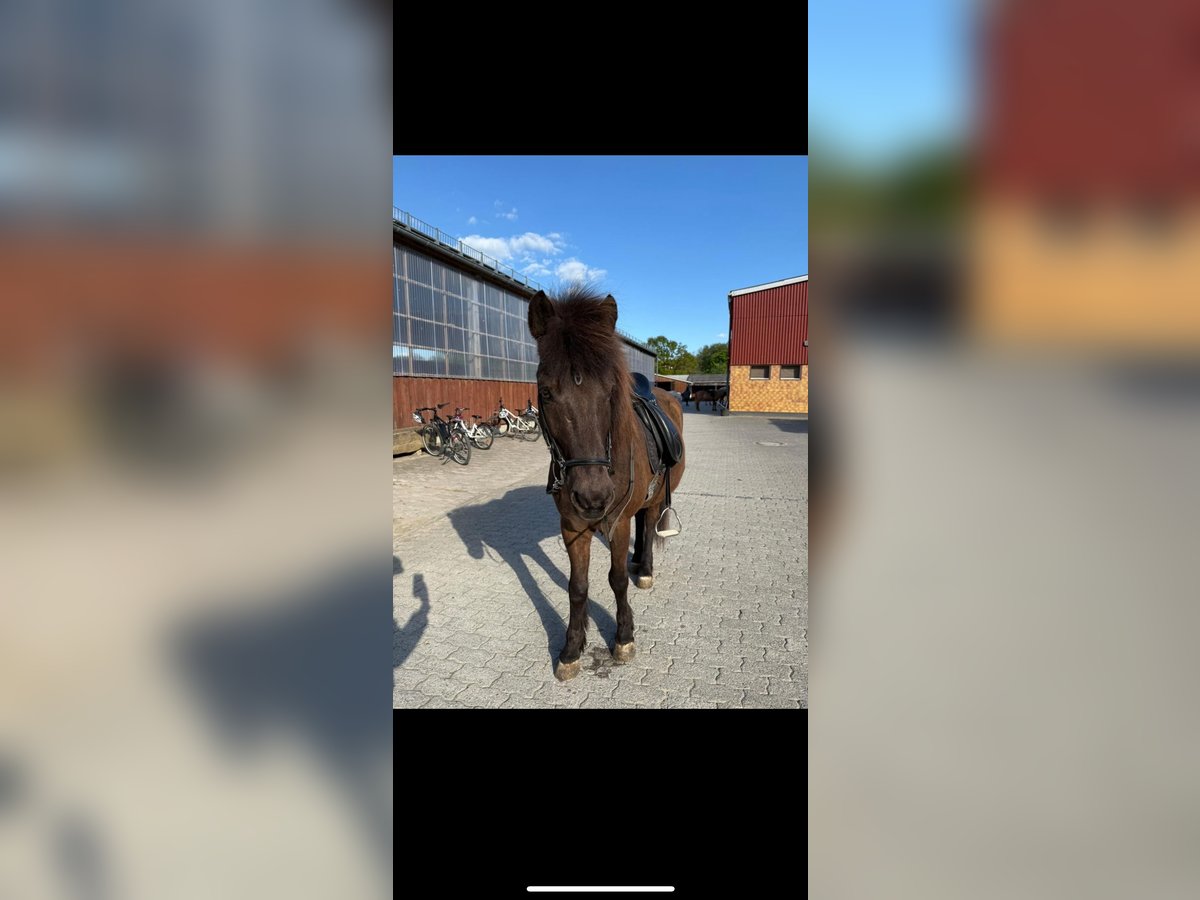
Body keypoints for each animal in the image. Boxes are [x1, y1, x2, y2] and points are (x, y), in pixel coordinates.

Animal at [528, 287, 686, 681]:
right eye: (546, 392)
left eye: (609, 390)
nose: (593, 496)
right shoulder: (573, 526)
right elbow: (577, 586)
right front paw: (571, 649)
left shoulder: (617, 522)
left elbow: (615, 579)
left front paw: (624, 636)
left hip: (654, 498)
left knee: (648, 522)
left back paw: (644, 569)